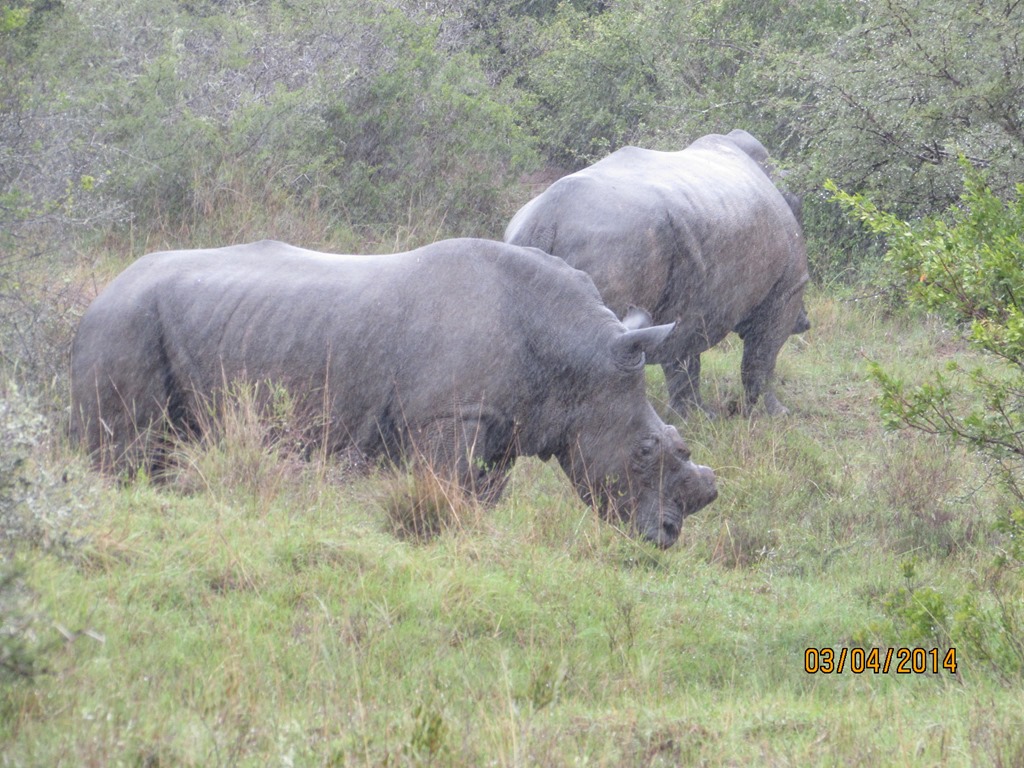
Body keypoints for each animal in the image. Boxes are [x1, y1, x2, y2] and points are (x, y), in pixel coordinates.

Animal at [70, 238, 717, 547]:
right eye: (645, 452)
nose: (666, 538)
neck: (576, 353)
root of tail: (103, 293)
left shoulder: (503, 421)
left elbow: (485, 495)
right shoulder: (451, 415)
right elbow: (451, 489)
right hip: (124, 324)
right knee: (126, 447)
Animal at [505, 129, 810, 417]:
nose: (805, 323)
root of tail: (545, 221)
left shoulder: (690, 296)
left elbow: (683, 359)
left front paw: (698, 416)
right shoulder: (788, 289)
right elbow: (763, 354)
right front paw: (775, 415)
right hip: (616, 245)